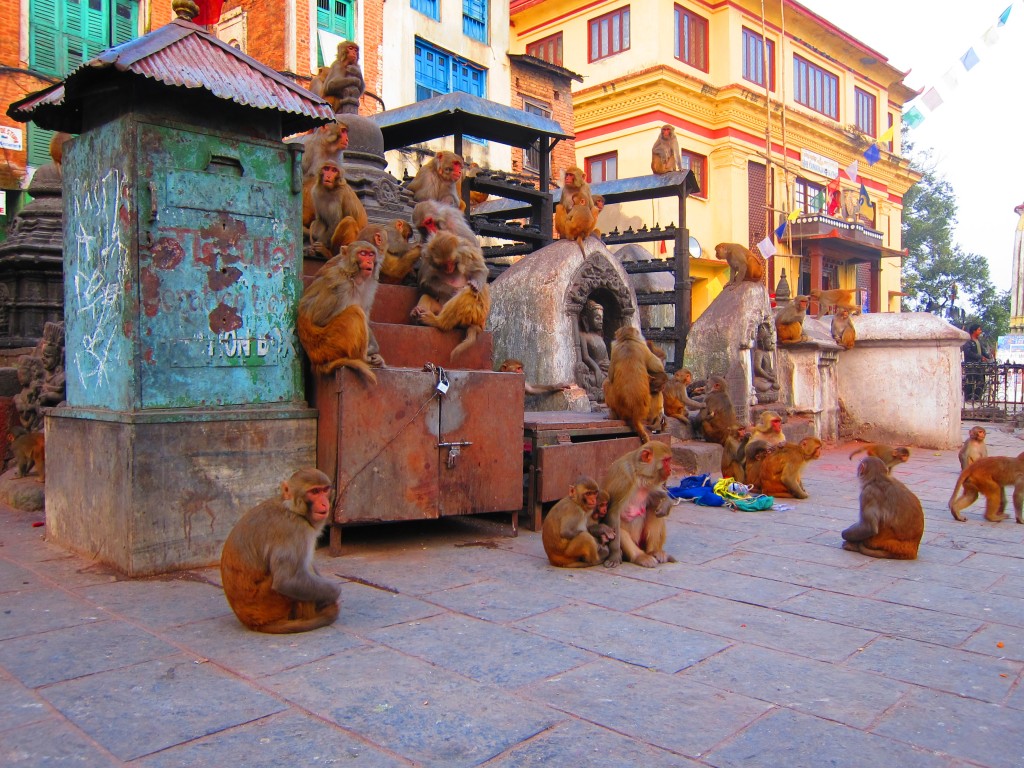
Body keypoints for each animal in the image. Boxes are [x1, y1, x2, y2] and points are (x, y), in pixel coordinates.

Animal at [220, 468, 339, 638]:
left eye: (324, 490)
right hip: (269, 602)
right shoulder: (294, 530)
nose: (324, 502)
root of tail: (250, 621)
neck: (292, 509)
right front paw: (333, 593)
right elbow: (286, 580)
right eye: (314, 492)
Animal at [299, 241, 382, 382]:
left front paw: (374, 349)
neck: (354, 277)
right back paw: (361, 358)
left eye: (371, 254)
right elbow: (319, 320)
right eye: (363, 253)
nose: (369, 262)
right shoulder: (340, 285)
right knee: (355, 312)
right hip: (327, 345)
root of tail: (315, 361)